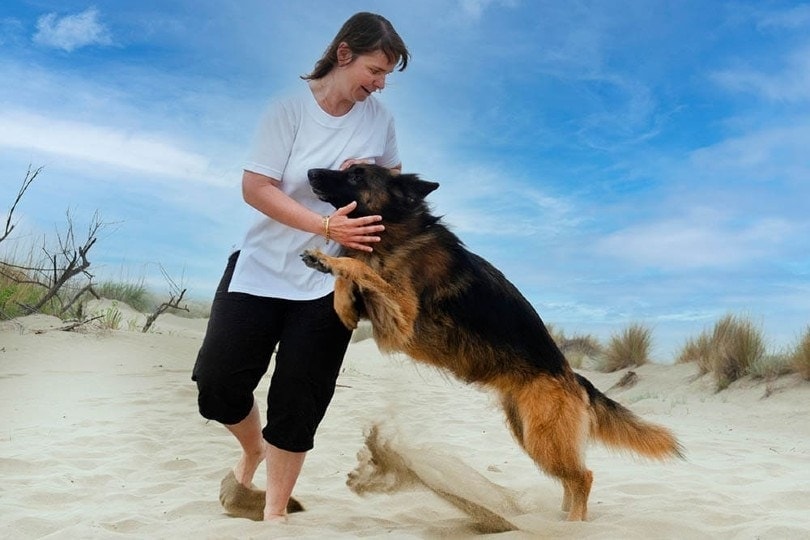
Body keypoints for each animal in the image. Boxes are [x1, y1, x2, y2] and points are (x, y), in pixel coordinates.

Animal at [300, 163, 680, 520]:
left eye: (357, 175)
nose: (310, 172)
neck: (398, 230)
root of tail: (574, 376)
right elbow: (352, 278)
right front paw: (340, 295)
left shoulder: (401, 318)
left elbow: (359, 267)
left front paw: (327, 260)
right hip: (528, 433)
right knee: (571, 480)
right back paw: (561, 517)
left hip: (543, 439)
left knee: (583, 477)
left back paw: (573, 524)